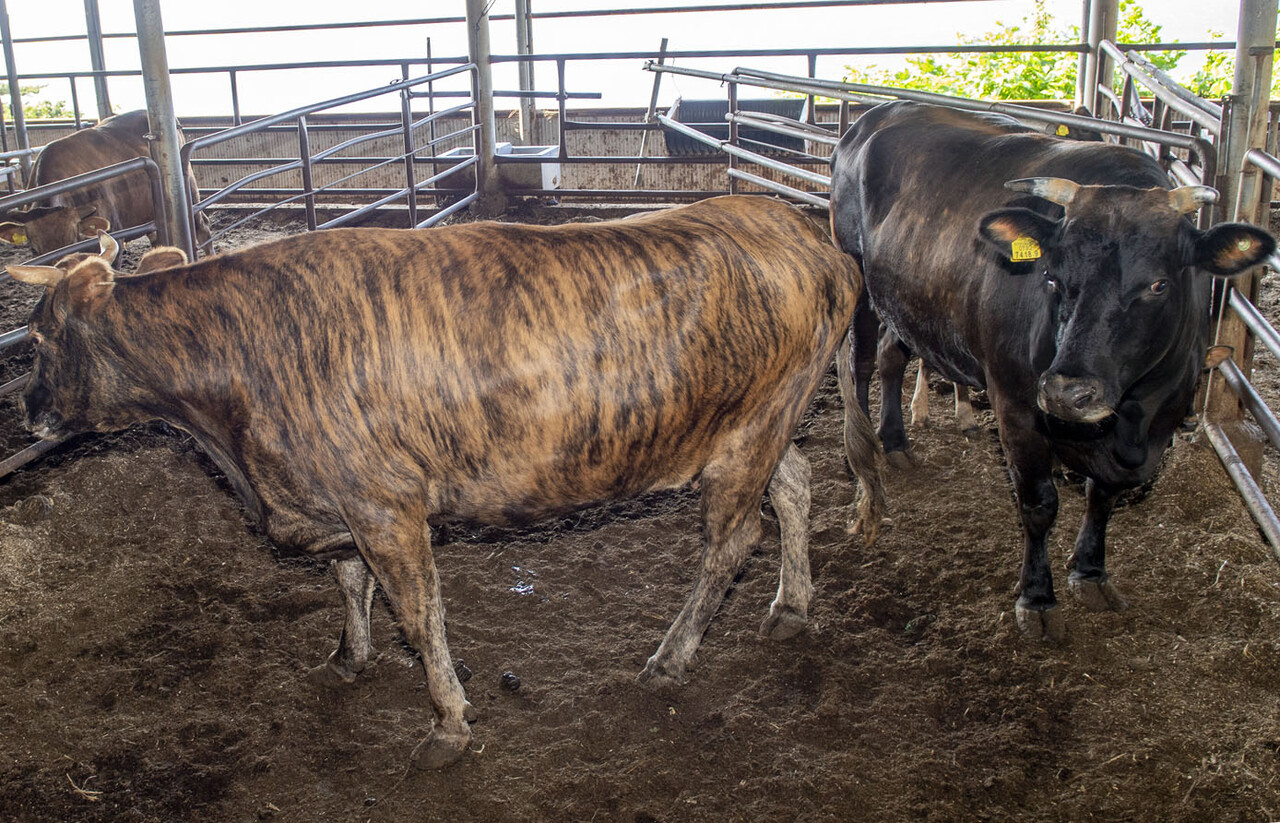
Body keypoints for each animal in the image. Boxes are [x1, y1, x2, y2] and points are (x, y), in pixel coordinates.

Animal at [824, 101, 1274, 645]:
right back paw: (862, 460)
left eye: (1159, 285)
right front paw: (1037, 598)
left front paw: (1091, 572)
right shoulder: (1016, 406)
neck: (1131, 419)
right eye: (1053, 278)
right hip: (857, 277)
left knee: (894, 357)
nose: (1066, 392)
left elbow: (1102, 496)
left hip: (910, 302)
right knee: (863, 364)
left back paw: (895, 442)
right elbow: (1038, 504)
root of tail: (877, 112)